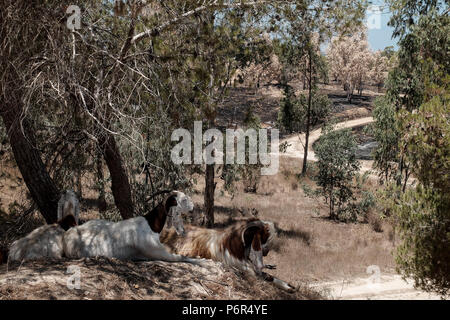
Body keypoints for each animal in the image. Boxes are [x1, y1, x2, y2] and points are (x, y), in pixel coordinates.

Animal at [63, 191, 202, 264]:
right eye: (184, 199)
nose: (193, 208)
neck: (151, 225)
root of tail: (69, 233)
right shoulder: (159, 253)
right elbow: (181, 257)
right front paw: (202, 261)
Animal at [161, 219, 296, 292]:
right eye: (264, 236)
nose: (267, 252)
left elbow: (268, 275)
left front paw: (290, 287)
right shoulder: (243, 268)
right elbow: (264, 276)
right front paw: (289, 287)